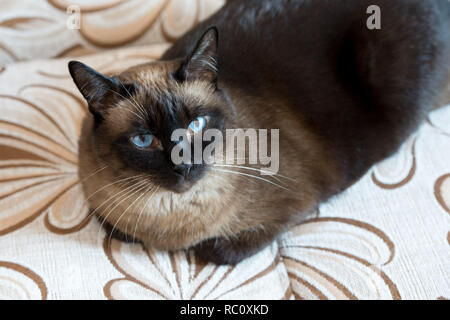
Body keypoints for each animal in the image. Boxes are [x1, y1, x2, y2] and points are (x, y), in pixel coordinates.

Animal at [67, 0, 450, 264]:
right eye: (144, 140)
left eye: (196, 126)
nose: (184, 167)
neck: (171, 225)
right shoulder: (103, 207)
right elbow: (117, 229)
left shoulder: (297, 204)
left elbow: (218, 251)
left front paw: (205, 249)